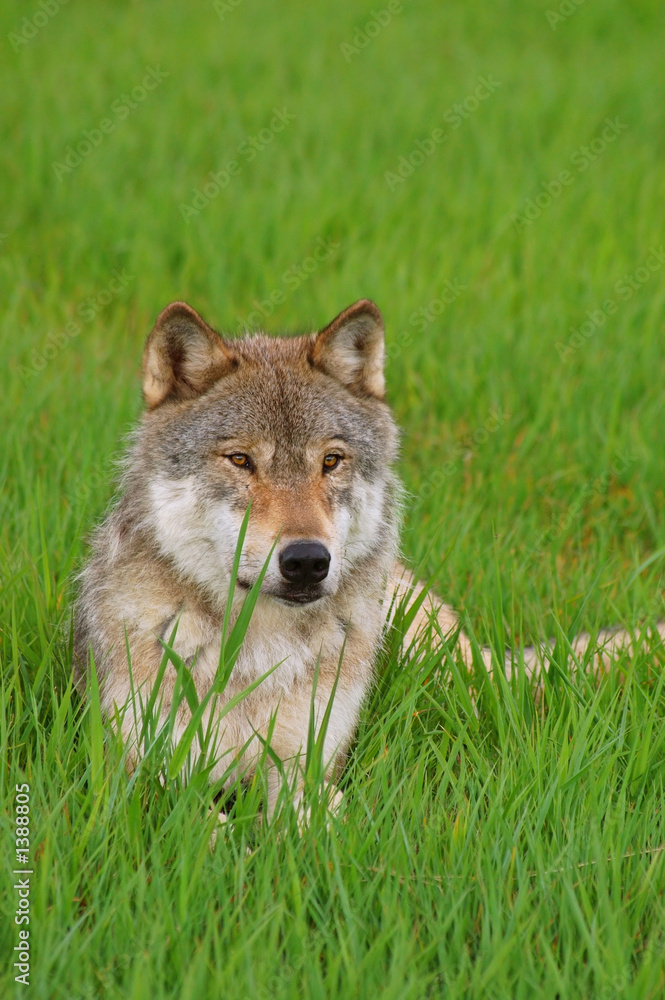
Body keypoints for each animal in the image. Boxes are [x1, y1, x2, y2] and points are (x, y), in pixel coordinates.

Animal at [73, 298, 664, 814]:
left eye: (331, 461)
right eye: (240, 460)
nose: (307, 560)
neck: (260, 651)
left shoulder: (308, 766)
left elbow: (320, 823)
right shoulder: (140, 775)